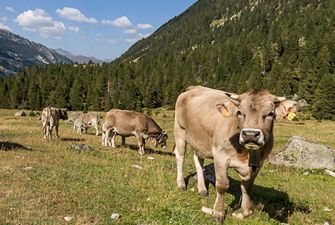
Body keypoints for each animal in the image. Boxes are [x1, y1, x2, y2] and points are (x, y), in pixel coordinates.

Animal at [175, 85, 292, 221]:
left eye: (270, 113)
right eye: (239, 112)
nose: (250, 134)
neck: (246, 153)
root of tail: (194, 87)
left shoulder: (259, 163)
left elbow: (247, 186)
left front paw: (246, 211)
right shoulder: (220, 157)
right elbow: (222, 185)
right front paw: (218, 213)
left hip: (199, 140)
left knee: (198, 160)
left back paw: (202, 189)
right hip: (179, 130)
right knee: (180, 157)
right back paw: (181, 184)